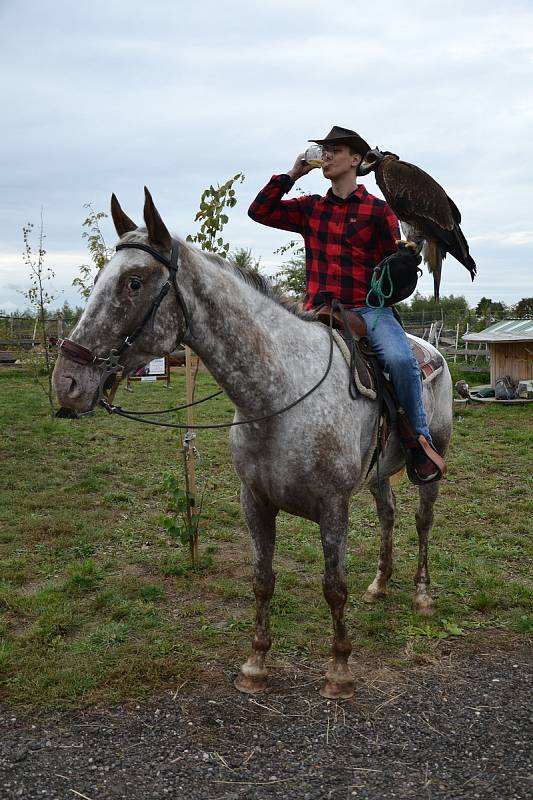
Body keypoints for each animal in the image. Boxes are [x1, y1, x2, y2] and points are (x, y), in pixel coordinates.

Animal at [54, 191, 450, 696]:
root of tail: (431, 350)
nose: (67, 381)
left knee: (422, 521)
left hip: (432, 464)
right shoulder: (255, 502)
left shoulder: (332, 507)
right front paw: (256, 663)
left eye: (134, 282)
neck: (280, 392)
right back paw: (380, 585)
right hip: (378, 474)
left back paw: (422, 594)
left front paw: (339, 670)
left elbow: (333, 586)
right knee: (389, 515)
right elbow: (262, 580)